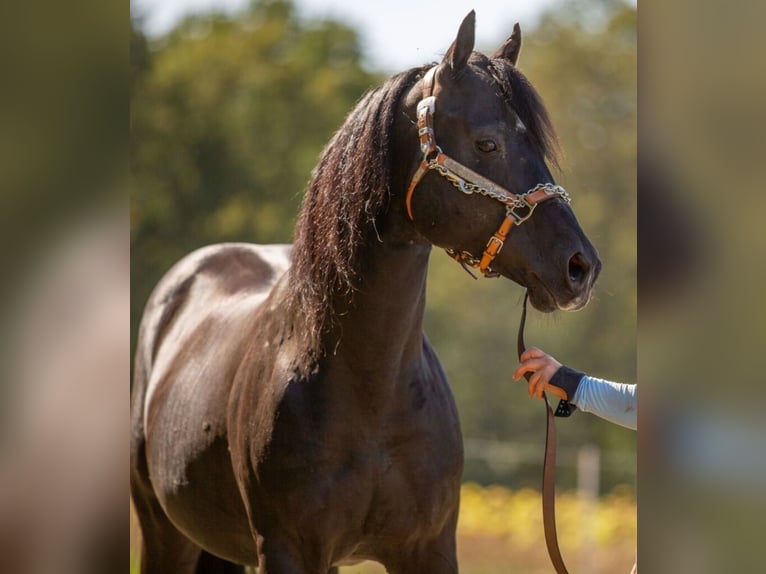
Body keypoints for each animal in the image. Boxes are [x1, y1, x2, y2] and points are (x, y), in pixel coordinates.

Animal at [130, 11, 600, 574]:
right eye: (488, 143)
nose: (581, 267)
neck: (370, 389)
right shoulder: (287, 550)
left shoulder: (429, 549)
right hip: (164, 533)